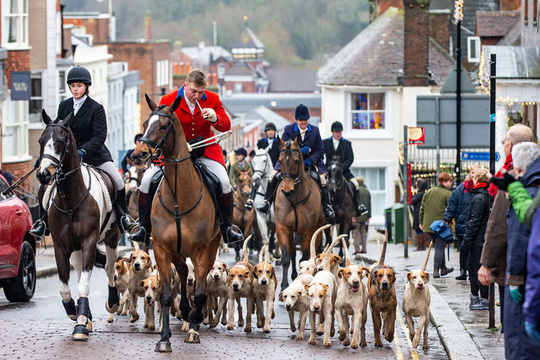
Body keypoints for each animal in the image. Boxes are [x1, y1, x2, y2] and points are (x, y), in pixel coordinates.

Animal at [35, 109, 121, 340]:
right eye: (41, 141)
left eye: (60, 141)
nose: (43, 174)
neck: (71, 200)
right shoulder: (61, 246)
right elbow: (65, 287)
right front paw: (75, 312)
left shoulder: (89, 242)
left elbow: (85, 283)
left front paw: (81, 324)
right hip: (75, 249)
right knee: (81, 269)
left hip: (112, 237)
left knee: (109, 268)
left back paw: (112, 302)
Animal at [131, 95, 221, 352]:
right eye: (144, 124)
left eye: (163, 126)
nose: (139, 154)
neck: (180, 197)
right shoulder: (162, 249)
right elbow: (166, 294)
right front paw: (164, 338)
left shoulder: (201, 251)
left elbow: (200, 293)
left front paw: (194, 326)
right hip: (177, 252)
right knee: (181, 272)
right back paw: (184, 312)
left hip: (210, 247)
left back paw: (193, 318)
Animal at [274, 136, 324, 292]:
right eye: (280, 160)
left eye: (297, 160)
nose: (287, 190)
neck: (295, 197)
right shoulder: (282, 228)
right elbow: (286, 258)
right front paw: (284, 285)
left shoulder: (309, 230)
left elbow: (305, 258)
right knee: (292, 253)